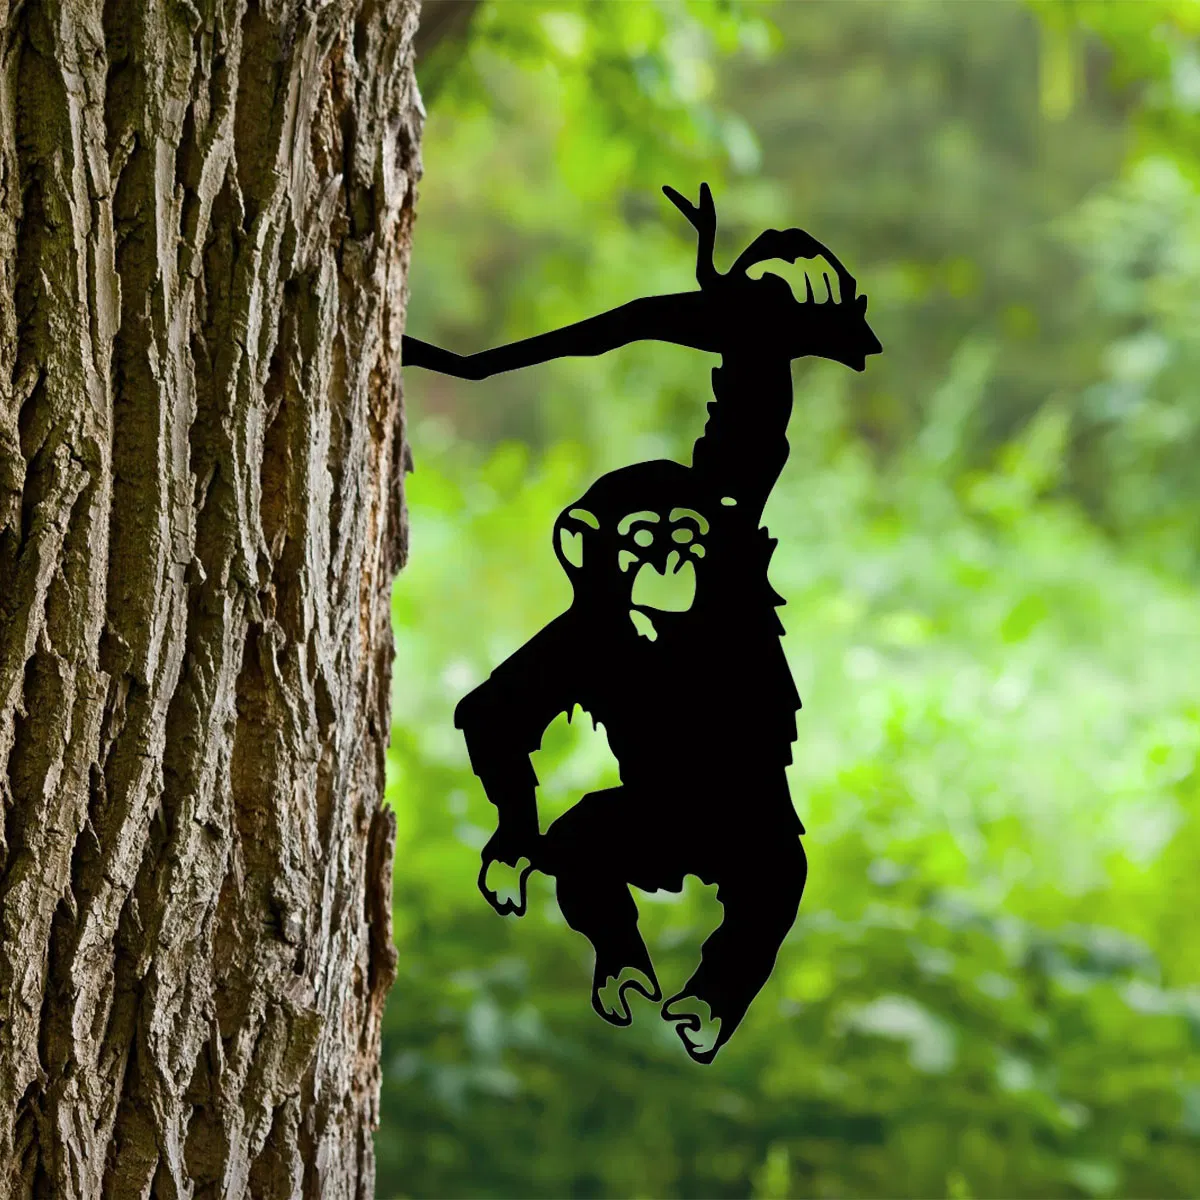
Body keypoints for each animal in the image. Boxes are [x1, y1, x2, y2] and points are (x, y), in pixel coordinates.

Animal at [403, 184, 881, 1062]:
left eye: (684, 533)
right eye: (636, 540)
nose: (667, 562)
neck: (664, 635)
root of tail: (685, 868)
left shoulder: (734, 535)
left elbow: (748, 425)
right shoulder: (581, 634)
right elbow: (497, 711)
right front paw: (513, 845)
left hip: (746, 829)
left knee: (766, 891)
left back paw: (707, 1004)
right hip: (646, 827)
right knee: (589, 848)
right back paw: (625, 969)